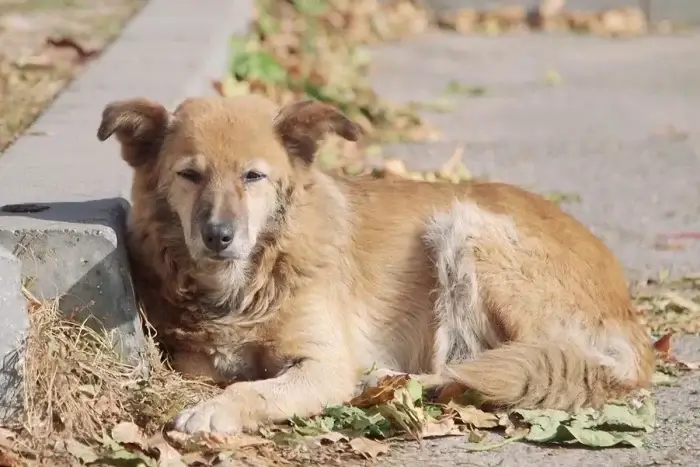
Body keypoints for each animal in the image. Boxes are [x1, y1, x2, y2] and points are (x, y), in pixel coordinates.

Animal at [95, 94, 652, 436]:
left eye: (253, 176)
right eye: (189, 175)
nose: (218, 236)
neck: (251, 280)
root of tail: (630, 318)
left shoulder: (322, 364)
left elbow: (256, 389)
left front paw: (216, 410)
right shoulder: (191, 355)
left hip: (463, 228)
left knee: (486, 365)